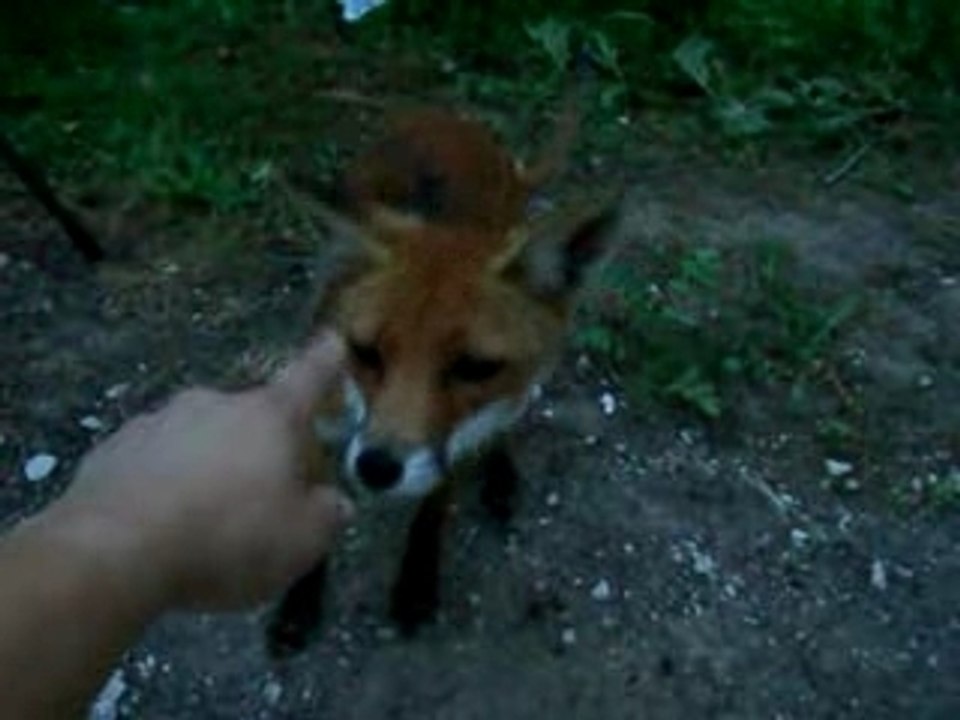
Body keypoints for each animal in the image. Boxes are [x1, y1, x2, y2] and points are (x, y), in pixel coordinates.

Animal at [265, 87, 623, 657]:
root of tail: (457, 123)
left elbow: (433, 509)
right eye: (364, 351)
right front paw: (300, 602)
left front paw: (416, 584)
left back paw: (501, 474)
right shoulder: (322, 425)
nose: (376, 468)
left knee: (508, 420)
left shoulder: (447, 446)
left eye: (475, 367)